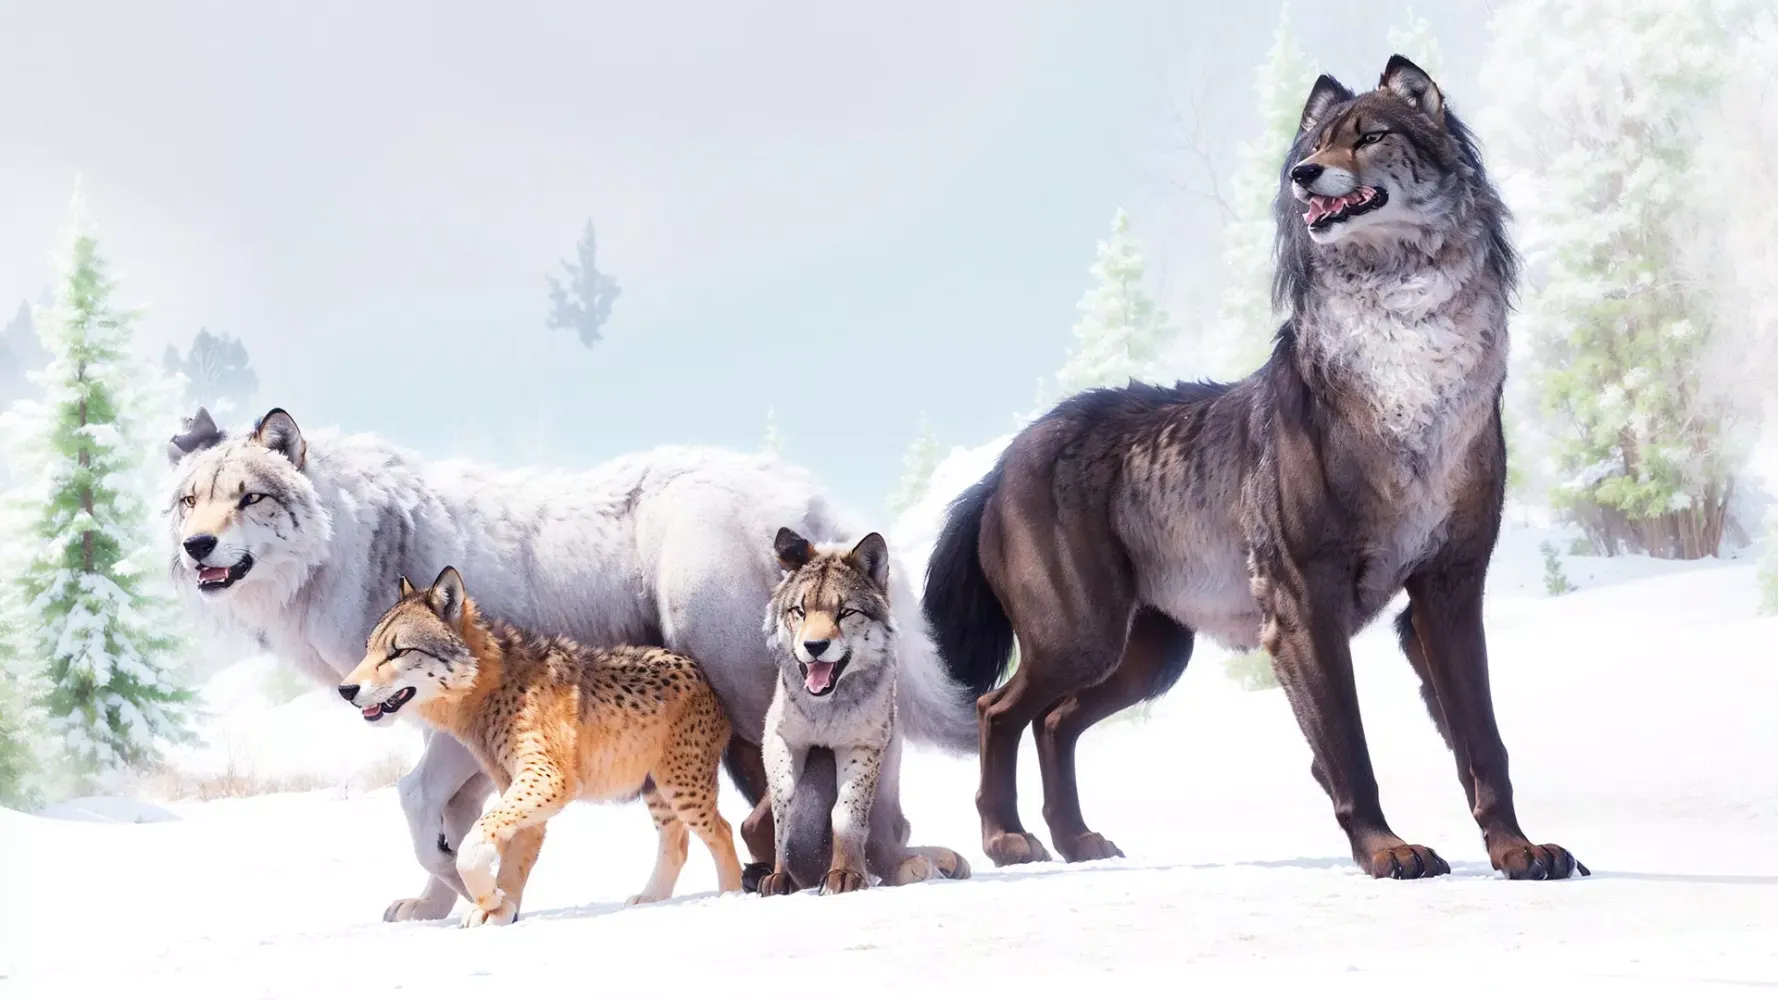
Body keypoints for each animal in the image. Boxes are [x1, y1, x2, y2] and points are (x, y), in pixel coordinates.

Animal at [339, 567, 743, 926]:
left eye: (398, 651)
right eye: (368, 650)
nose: (346, 689)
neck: (489, 688)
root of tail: (695, 667)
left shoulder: (547, 778)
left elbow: (470, 847)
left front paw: (491, 903)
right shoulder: (519, 786)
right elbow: (511, 857)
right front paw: (499, 909)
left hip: (682, 789)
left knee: (722, 831)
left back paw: (732, 897)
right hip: (658, 791)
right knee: (677, 841)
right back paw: (652, 898)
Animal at [756, 529, 971, 896]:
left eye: (845, 612)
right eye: (799, 610)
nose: (814, 647)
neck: (825, 710)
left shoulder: (862, 746)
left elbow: (846, 815)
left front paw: (845, 874)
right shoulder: (781, 742)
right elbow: (783, 818)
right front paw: (780, 877)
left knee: (890, 842)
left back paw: (923, 865)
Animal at [923, 56, 1586, 880]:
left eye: (1370, 136)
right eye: (1312, 143)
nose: (1303, 175)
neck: (1409, 367)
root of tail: (1002, 462)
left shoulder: (1448, 594)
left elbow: (1483, 742)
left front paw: (1517, 849)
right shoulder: (1303, 603)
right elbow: (1347, 746)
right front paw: (1387, 850)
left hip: (1146, 658)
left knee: (1055, 723)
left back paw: (1078, 842)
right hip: (1080, 638)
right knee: (999, 710)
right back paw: (1006, 840)